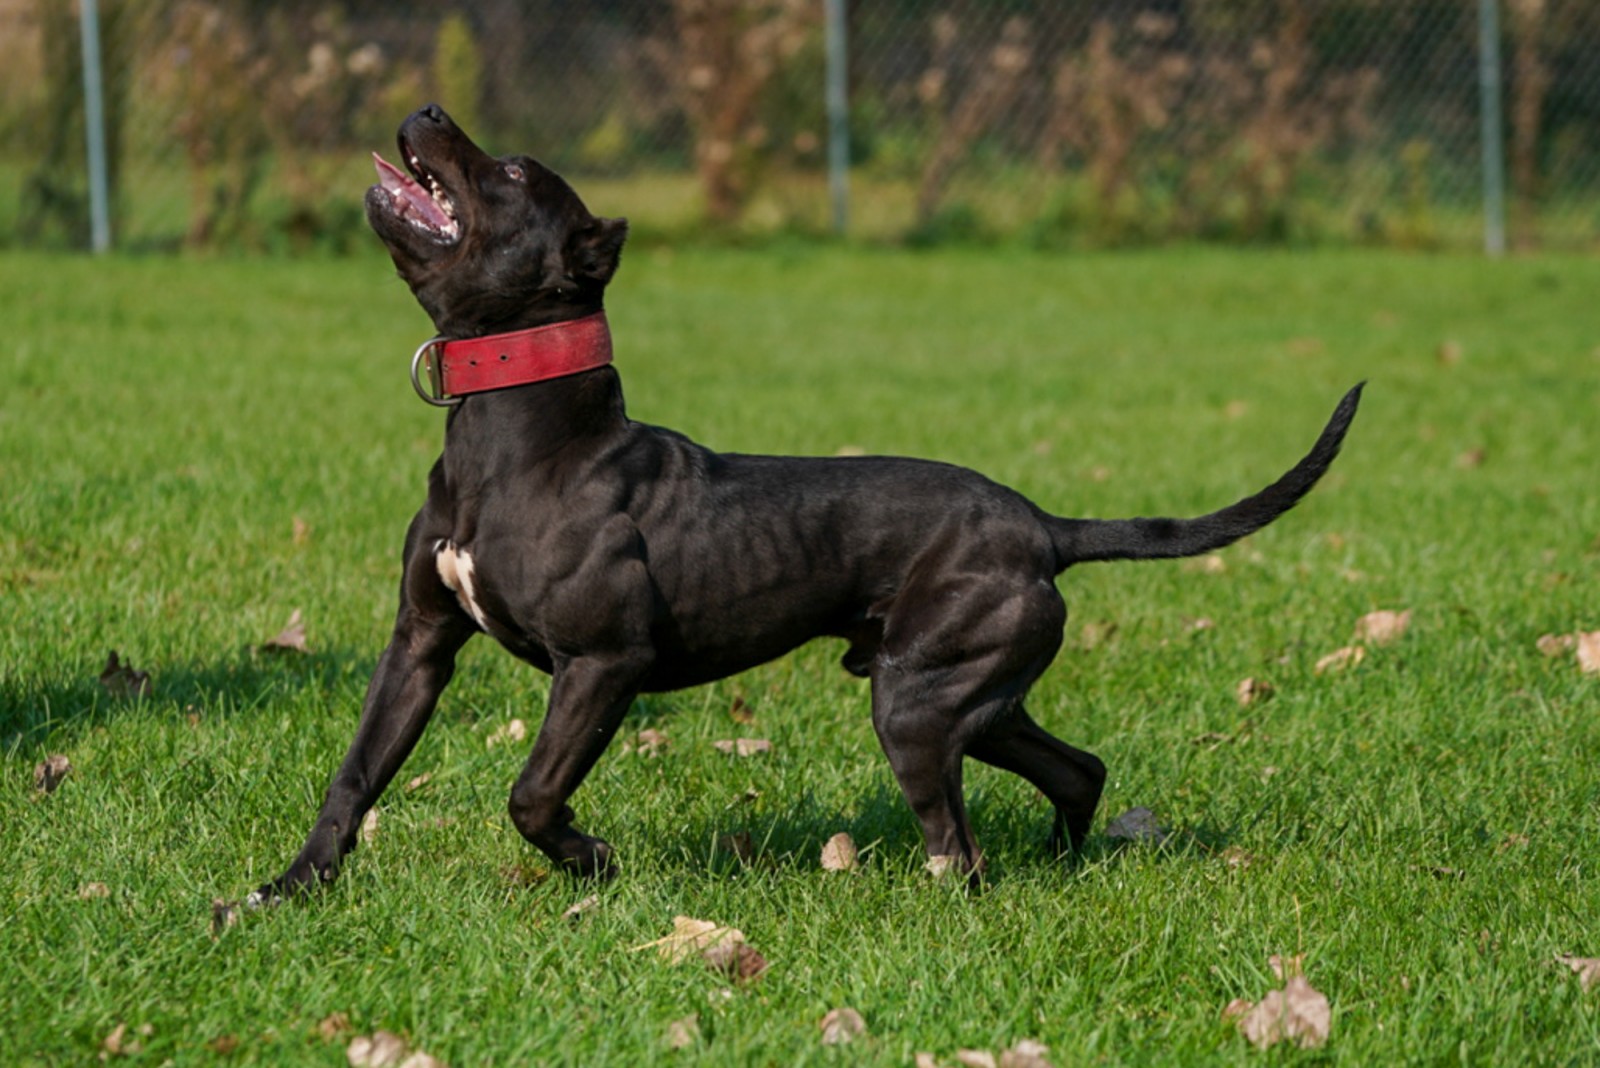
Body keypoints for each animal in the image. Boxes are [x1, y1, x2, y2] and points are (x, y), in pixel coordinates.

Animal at [249, 103, 1350, 901]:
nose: (430, 106)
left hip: (916, 703)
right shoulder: (420, 645)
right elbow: (355, 775)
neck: (515, 436)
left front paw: (595, 863)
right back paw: (1062, 863)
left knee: (959, 845)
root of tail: (1045, 526)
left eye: (514, 173)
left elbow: (530, 794)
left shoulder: (603, 663)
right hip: (968, 697)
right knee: (1076, 769)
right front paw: (289, 890)